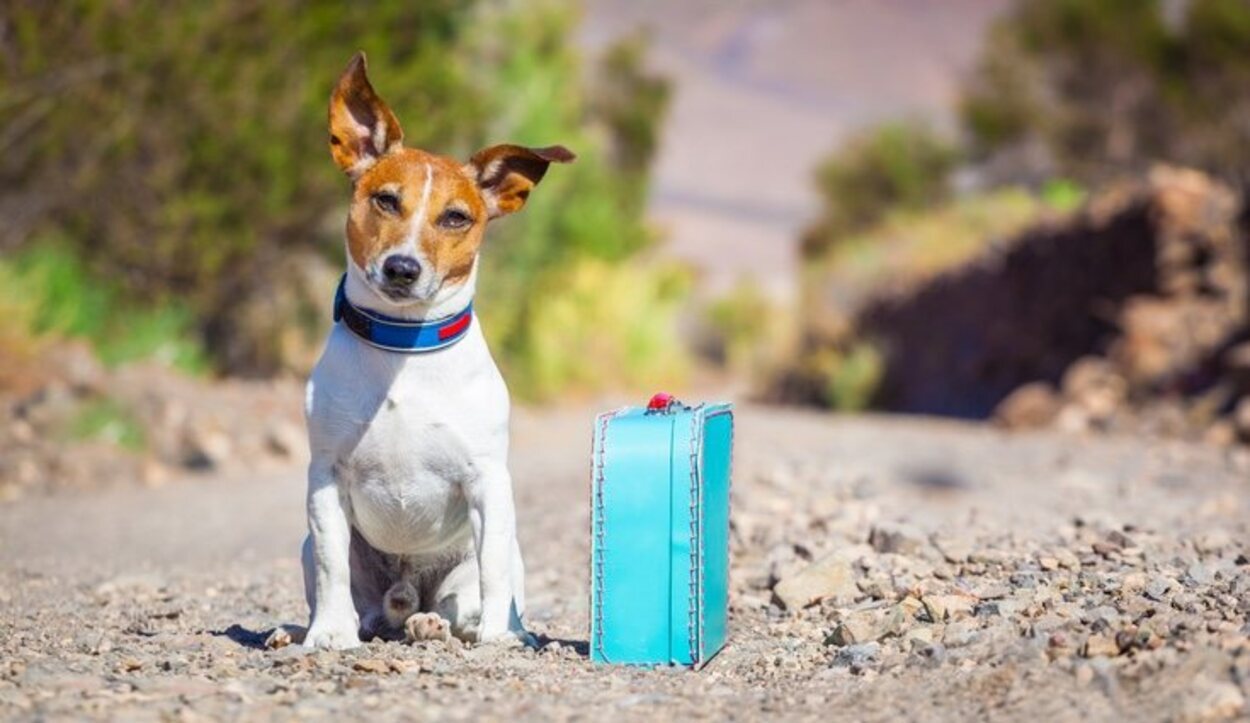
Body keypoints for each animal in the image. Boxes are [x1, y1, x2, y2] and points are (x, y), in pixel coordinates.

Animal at [300, 51, 572, 645]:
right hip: (318, 551)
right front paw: (326, 635)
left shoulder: (488, 482)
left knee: (461, 601)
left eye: (455, 217)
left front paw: (497, 637)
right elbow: (332, 564)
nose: (402, 268)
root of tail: (407, 593)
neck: (404, 348)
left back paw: (442, 623)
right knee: (363, 605)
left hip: (484, 562)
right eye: (385, 200)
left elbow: (492, 571)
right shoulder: (325, 477)